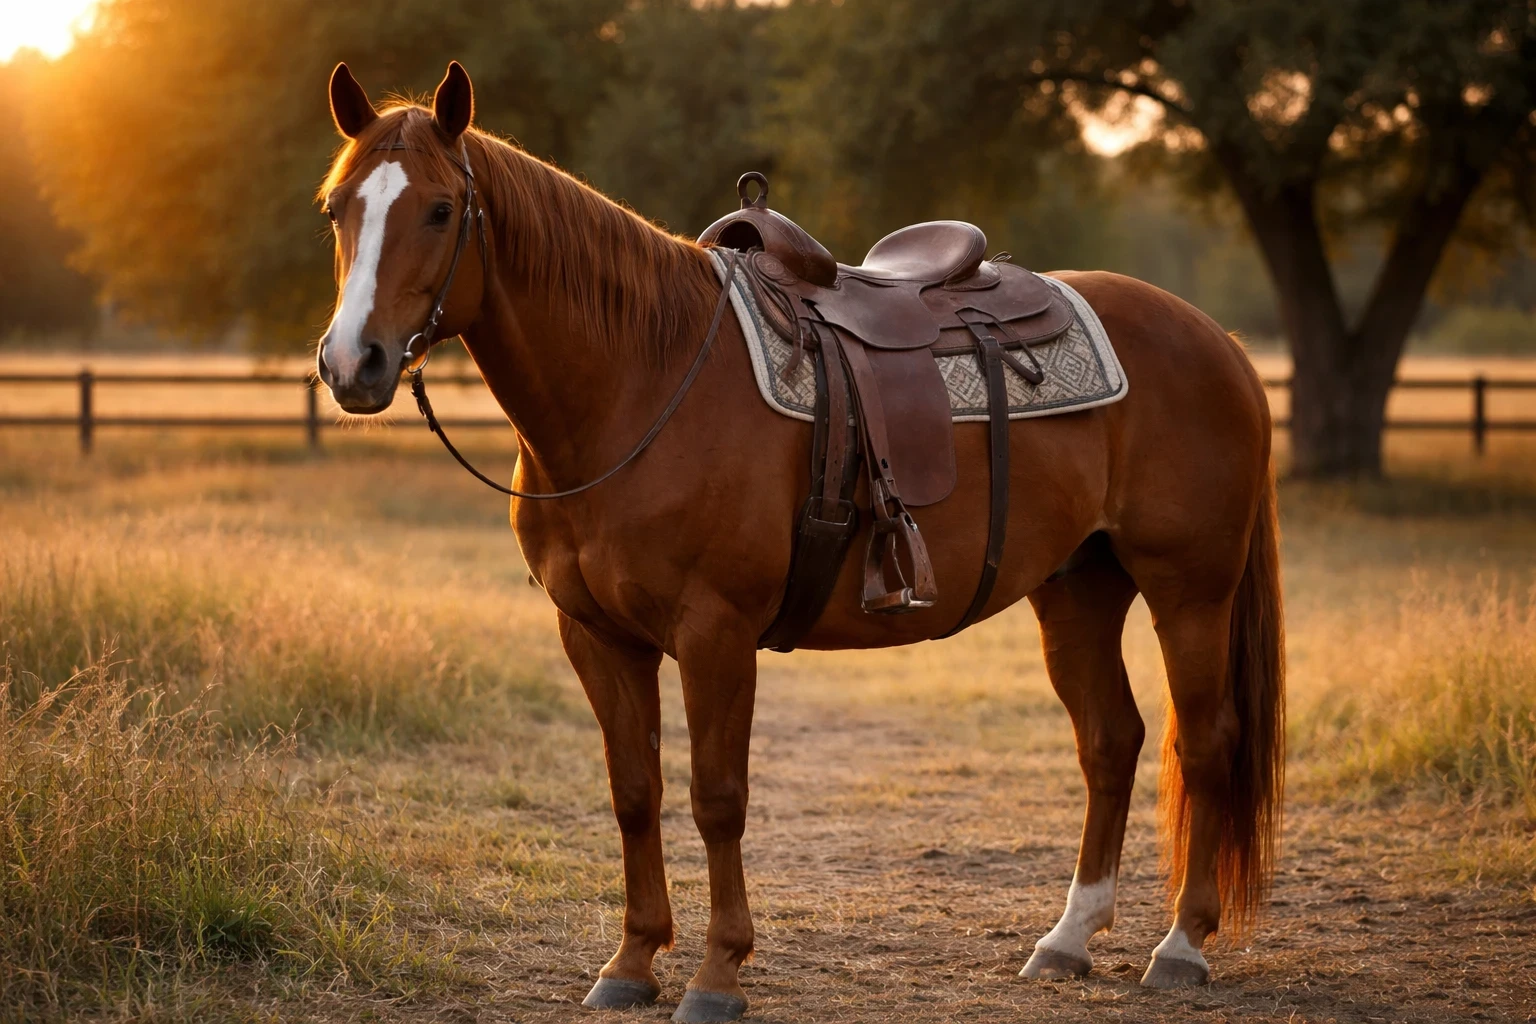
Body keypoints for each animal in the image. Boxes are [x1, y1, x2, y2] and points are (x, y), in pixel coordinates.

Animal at [315, 61, 1284, 1023]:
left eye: (441, 209)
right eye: (336, 208)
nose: (352, 364)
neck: (642, 379)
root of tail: (1218, 341)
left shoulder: (715, 632)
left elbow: (717, 798)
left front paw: (717, 974)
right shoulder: (597, 636)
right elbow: (635, 793)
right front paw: (631, 961)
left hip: (1190, 591)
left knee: (1205, 743)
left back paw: (1181, 946)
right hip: (1078, 587)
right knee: (1110, 742)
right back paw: (1068, 940)